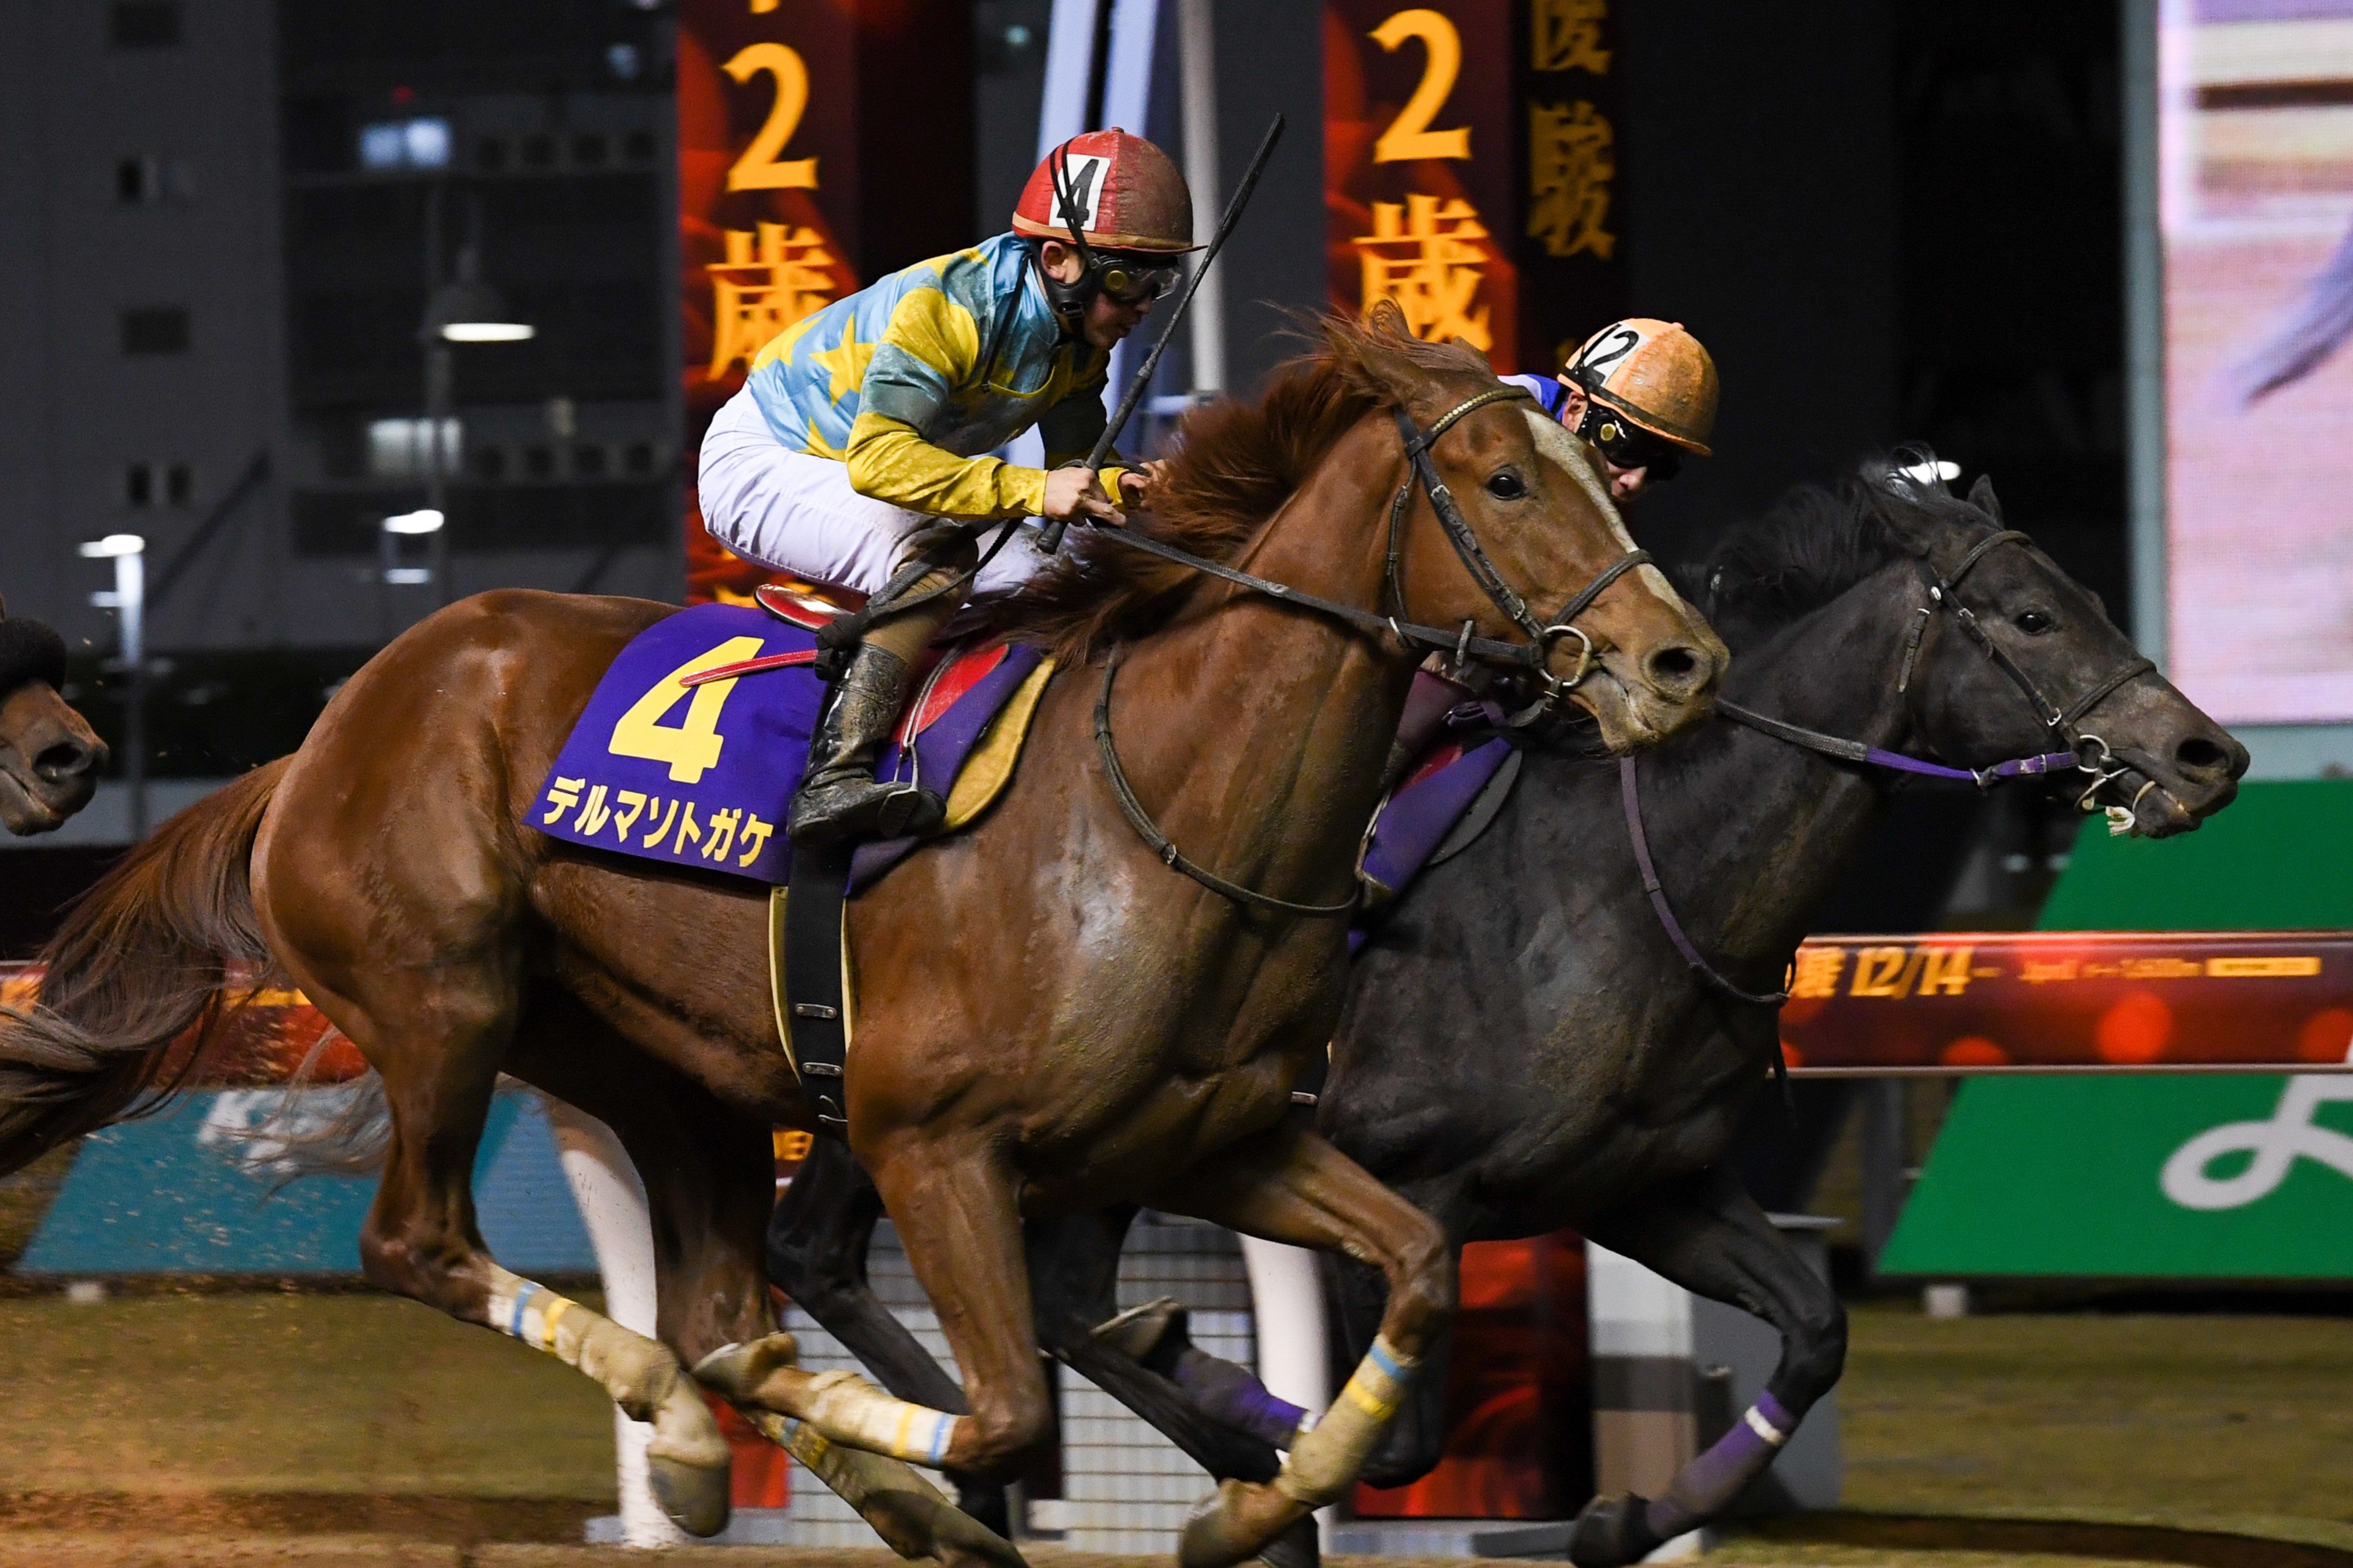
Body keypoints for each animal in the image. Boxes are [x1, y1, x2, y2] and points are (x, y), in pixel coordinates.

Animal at [767, 451, 2240, 1560]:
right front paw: (1284, 1466)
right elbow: (1403, 1433)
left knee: (896, 1268)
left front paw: (1625, 1516)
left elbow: (1813, 1334)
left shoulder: (1644, 1186)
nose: (2203, 756)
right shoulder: (1400, 1171)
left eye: (2090, 594)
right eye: (2034, 618)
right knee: (1007, 1294)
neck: (1631, 884)